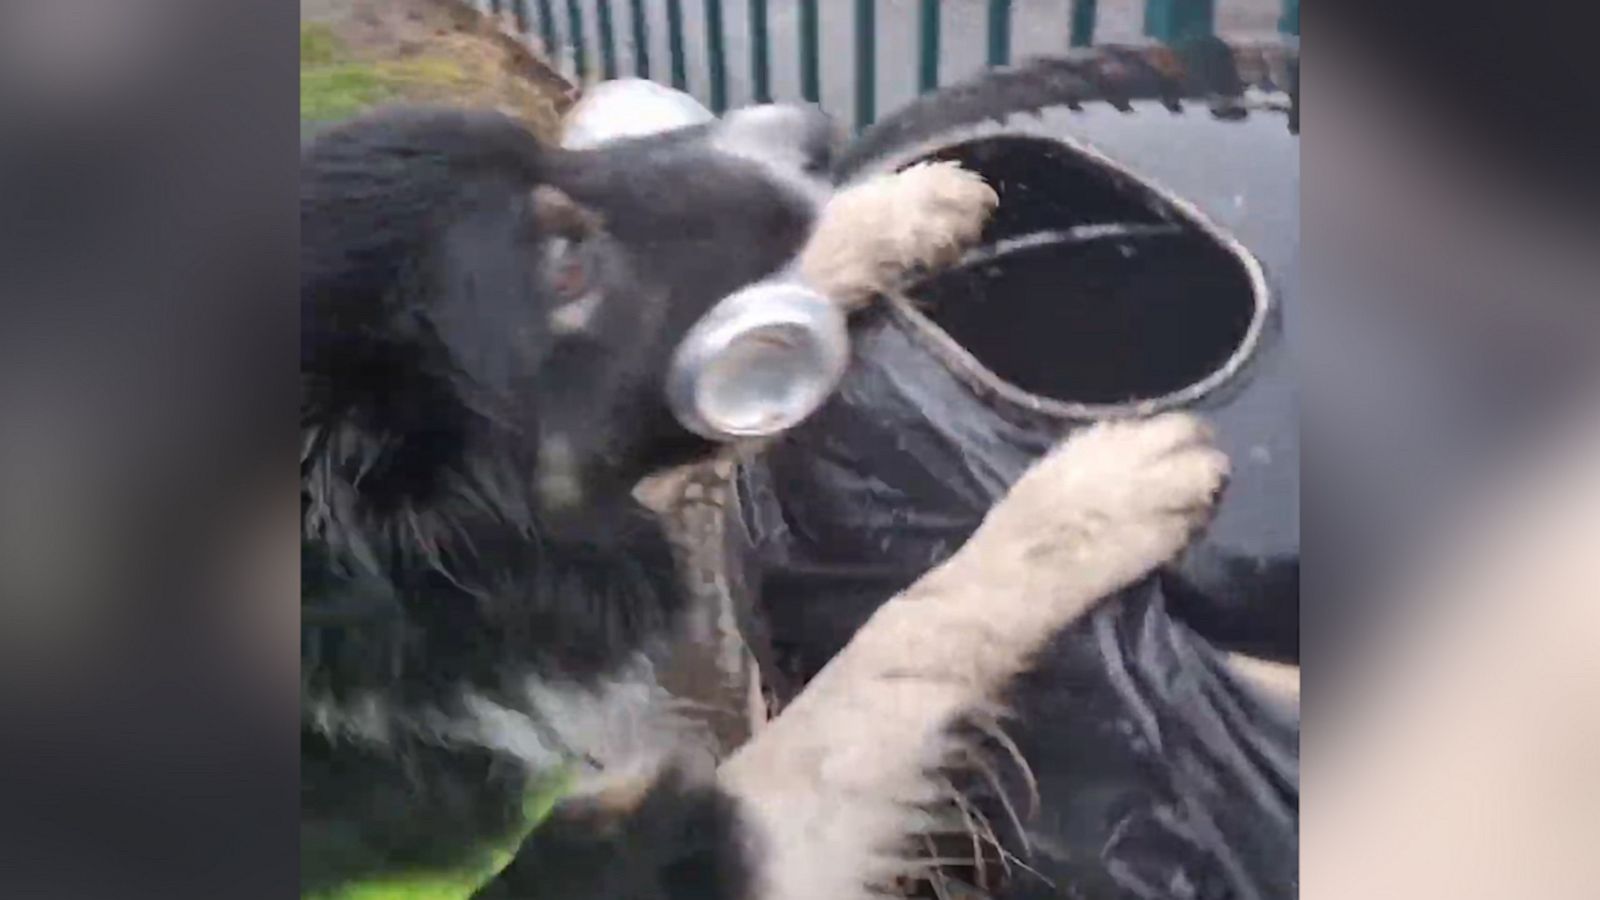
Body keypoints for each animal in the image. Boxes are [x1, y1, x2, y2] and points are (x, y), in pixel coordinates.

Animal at [300, 99, 1222, 896]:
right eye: (566, 269)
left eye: (550, 150)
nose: (811, 127)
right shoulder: (667, 857)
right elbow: (882, 659)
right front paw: (1092, 499)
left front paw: (899, 206)